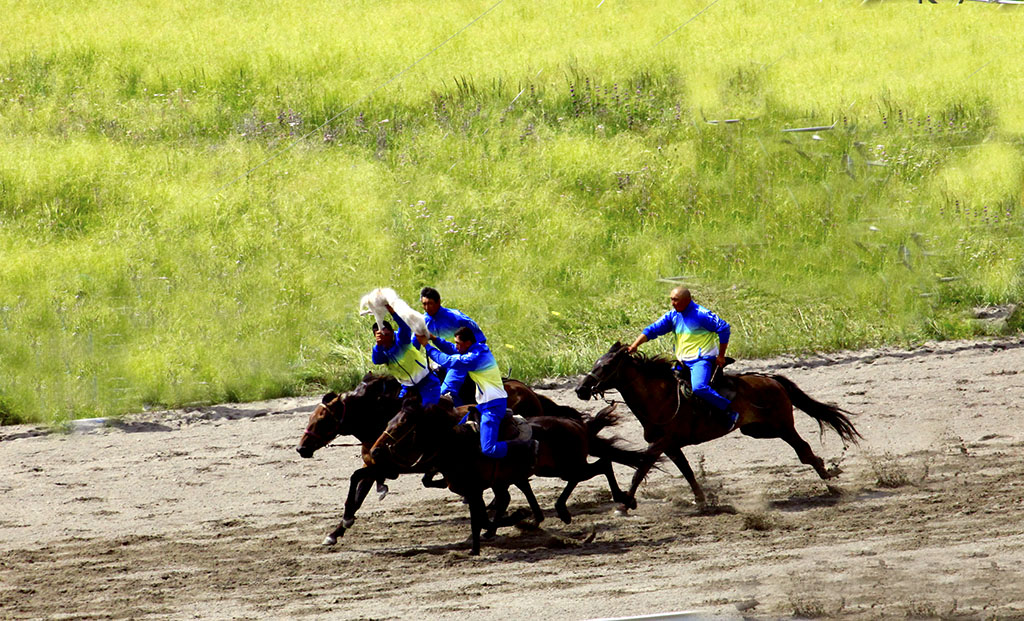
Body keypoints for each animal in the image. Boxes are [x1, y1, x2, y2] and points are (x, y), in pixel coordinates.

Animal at [296, 368, 557, 545]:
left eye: (322, 420)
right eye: (310, 418)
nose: (301, 449)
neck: (380, 417)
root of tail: (530, 392)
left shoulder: (391, 465)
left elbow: (356, 479)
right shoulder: (377, 463)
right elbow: (358, 492)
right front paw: (338, 530)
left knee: (517, 484)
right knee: (517, 485)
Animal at [573, 346, 860, 510]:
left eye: (606, 366)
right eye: (595, 363)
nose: (580, 390)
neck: (660, 396)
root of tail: (771, 379)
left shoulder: (660, 443)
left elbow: (640, 470)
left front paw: (624, 504)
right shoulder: (672, 446)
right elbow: (687, 472)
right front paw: (701, 500)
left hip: (781, 426)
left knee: (804, 450)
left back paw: (829, 479)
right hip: (757, 429)